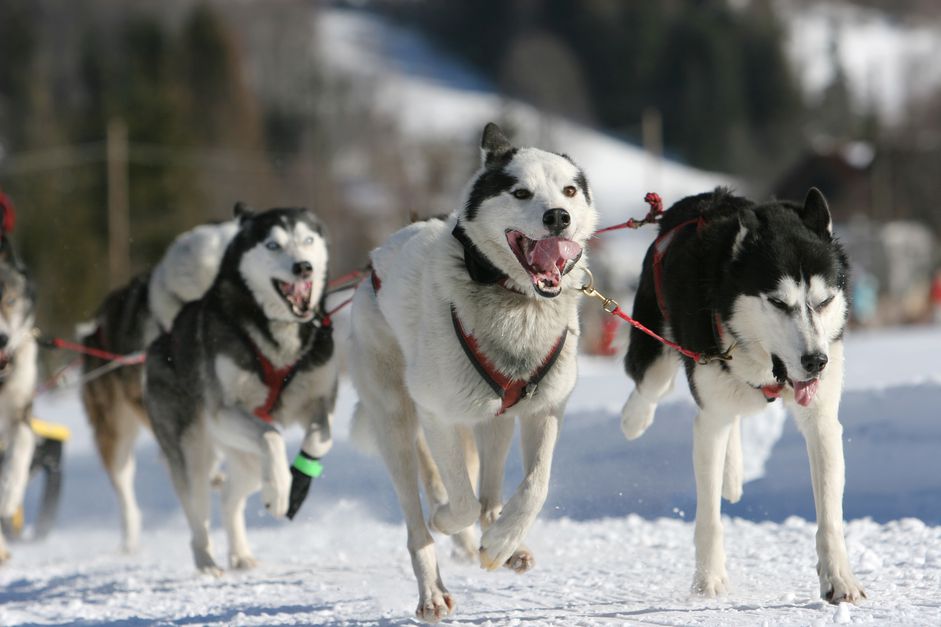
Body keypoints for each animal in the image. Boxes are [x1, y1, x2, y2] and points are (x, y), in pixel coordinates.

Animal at [145, 206, 336, 576]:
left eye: (308, 239)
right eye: (273, 245)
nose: (303, 266)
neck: (278, 336)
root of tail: (167, 335)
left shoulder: (318, 400)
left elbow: (321, 438)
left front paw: (297, 481)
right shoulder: (224, 412)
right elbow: (272, 436)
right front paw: (280, 491)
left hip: (245, 462)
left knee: (229, 497)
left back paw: (241, 554)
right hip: (193, 453)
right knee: (198, 513)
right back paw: (206, 561)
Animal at [348, 124, 600, 624]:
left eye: (569, 190)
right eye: (521, 192)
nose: (558, 216)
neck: (516, 302)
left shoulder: (544, 409)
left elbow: (534, 486)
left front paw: (501, 541)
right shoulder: (437, 416)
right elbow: (458, 501)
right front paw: (447, 519)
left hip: (493, 420)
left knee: (488, 493)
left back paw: (504, 542)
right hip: (397, 421)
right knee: (420, 515)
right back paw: (432, 588)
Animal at [620, 186, 864, 604]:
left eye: (824, 301)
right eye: (779, 303)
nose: (816, 361)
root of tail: (700, 197)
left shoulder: (821, 422)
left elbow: (830, 518)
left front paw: (839, 579)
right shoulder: (710, 417)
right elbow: (709, 517)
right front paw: (708, 579)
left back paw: (732, 473)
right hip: (657, 354)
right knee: (651, 385)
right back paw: (634, 419)